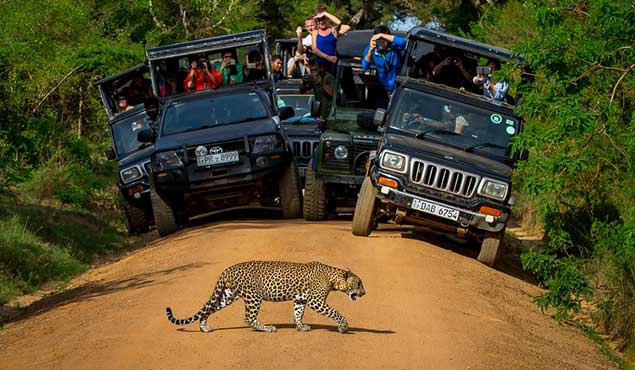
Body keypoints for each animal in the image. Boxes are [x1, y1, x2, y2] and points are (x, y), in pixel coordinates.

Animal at [166, 260, 366, 332]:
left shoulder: (300, 299)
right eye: (358, 283)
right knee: (248, 318)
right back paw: (267, 328)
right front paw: (343, 326)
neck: (333, 278)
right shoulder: (316, 301)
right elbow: (335, 312)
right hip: (253, 296)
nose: (364, 293)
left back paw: (204, 327)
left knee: (209, 309)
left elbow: (298, 313)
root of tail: (229, 268)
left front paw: (300, 327)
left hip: (228, 295)